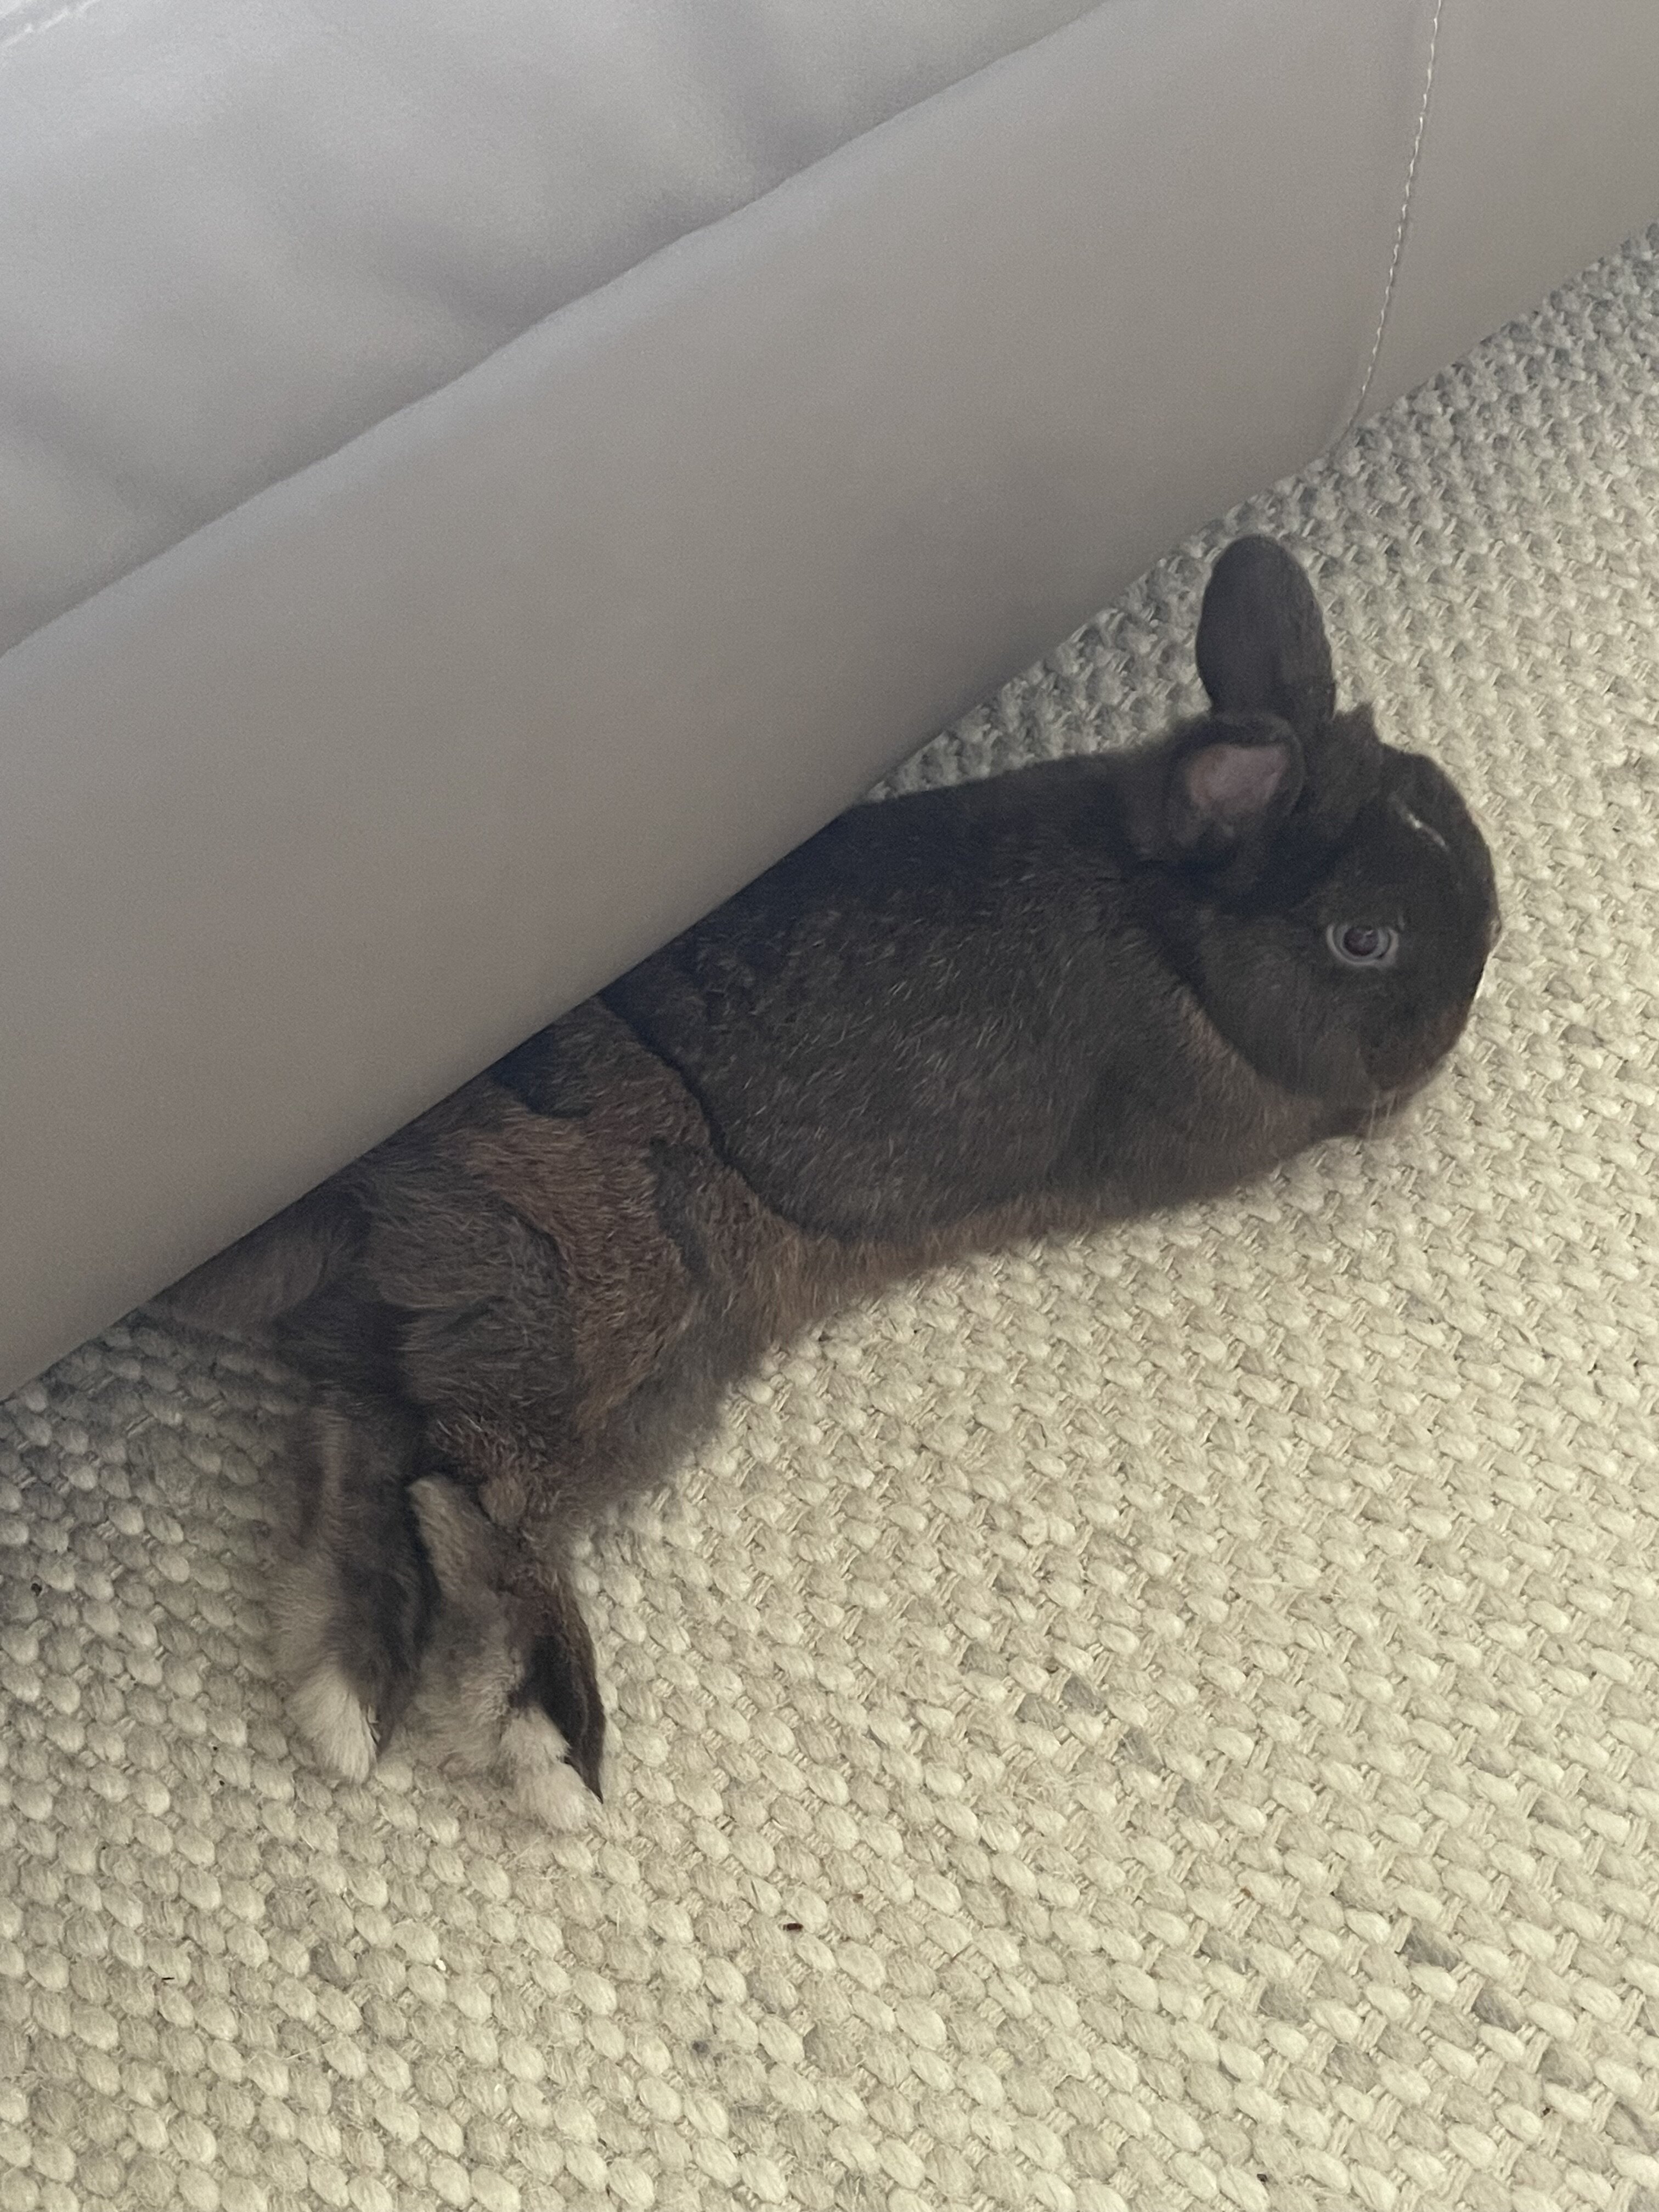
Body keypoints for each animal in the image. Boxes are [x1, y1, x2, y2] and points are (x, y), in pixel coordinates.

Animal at [158, 535, 1499, 1826]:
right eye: (1363, 941)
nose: (1460, 1013)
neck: (1174, 924)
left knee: (365, 1454)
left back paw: (344, 1705)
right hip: (626, 1318)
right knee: (471, 1495)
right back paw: (553, 1743)